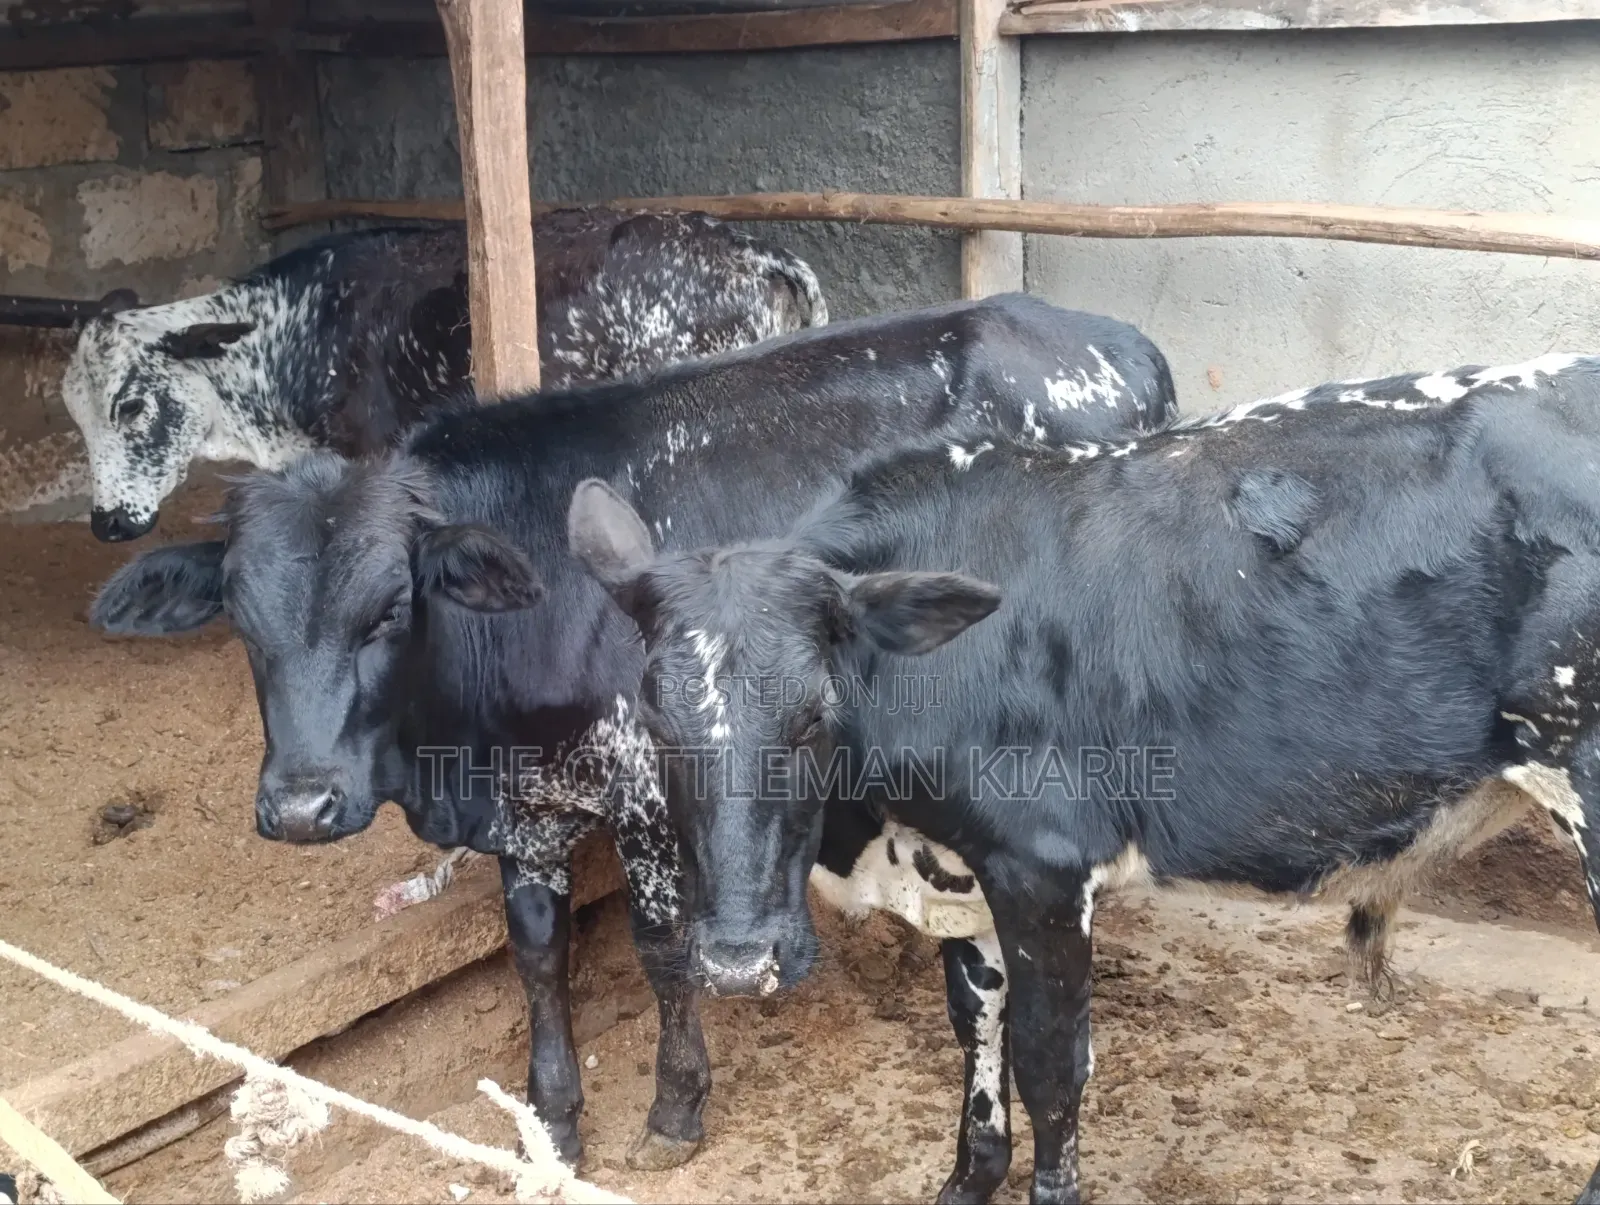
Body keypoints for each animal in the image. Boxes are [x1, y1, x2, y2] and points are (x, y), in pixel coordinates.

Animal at [85, 294, 1179, 1183]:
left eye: (389, 606)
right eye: (240, 613)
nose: (302, 805)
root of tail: (1112, 340)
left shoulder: (651, 788)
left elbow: (663, 949)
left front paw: (673, 1108)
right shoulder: (530, 806)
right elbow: (536, 951)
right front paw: (555, 1122)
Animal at [563, 353, 1600, 1204]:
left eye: (816, 712)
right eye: (656, 716)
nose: (740, 960)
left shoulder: (1045, 866)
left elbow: (1050, 1067)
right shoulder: (968, 870)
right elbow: (977, 1035)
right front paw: (967, 1180)